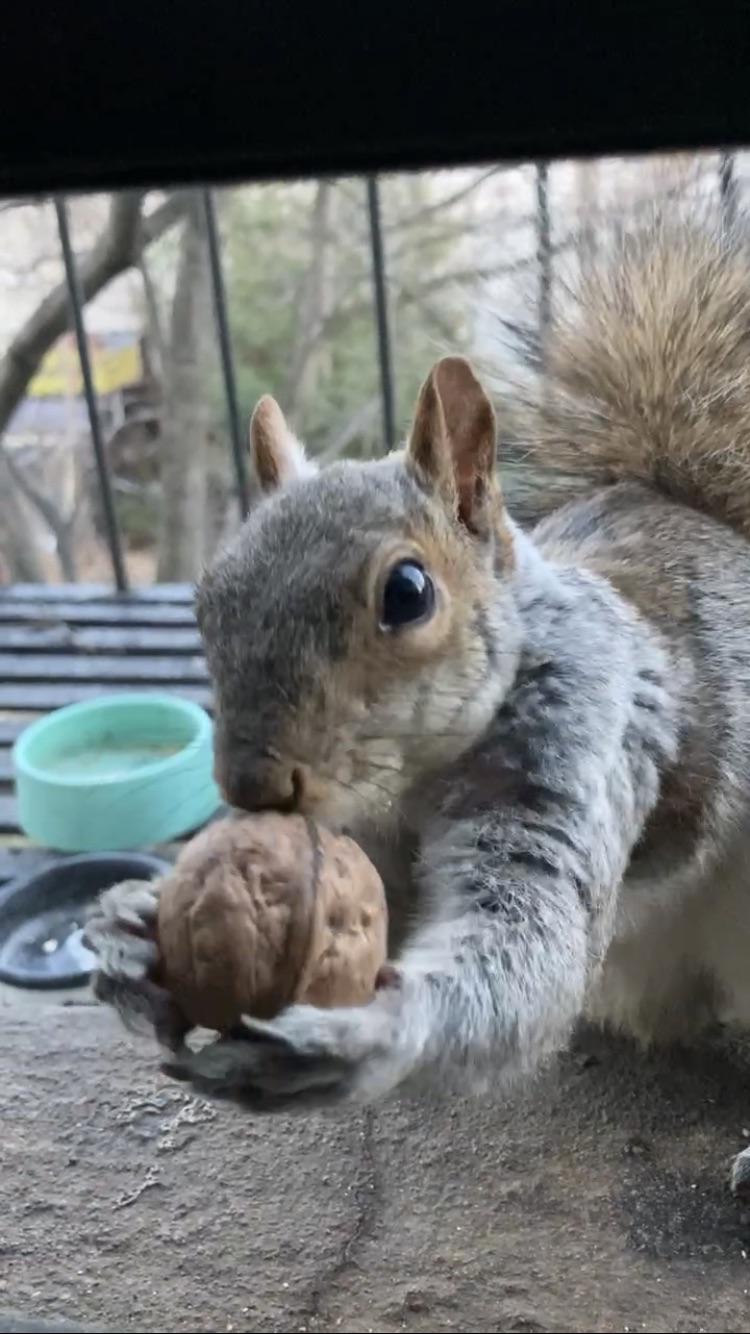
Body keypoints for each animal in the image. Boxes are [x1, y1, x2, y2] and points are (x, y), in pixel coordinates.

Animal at [87, 209, 750, 1193]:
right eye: (208, 597)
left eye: (407, 592)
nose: (250, 788)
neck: (410, 779)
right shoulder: (360, 854)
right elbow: (368, 919)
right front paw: (131, 932)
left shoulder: (586, 734)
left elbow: (527, 935)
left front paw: (374, 1035)